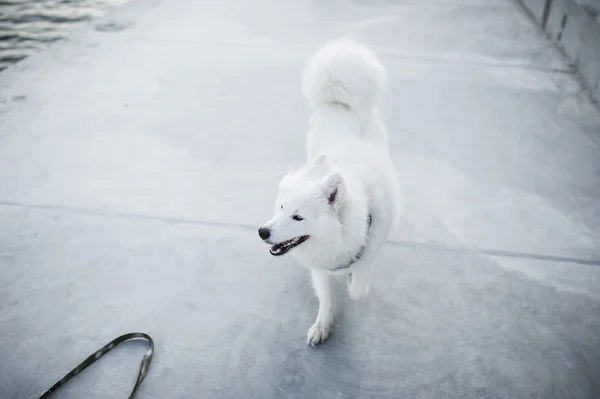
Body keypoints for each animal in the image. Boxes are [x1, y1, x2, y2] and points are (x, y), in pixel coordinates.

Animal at [256, 39, 400, 348]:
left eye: (298, 217)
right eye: (281, 208)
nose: (262, 232)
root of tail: (339, 103)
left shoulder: (371, 249)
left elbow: (358, 288)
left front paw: (352, 280)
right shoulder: (320, 269)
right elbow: (327, 299)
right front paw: (323, 326)